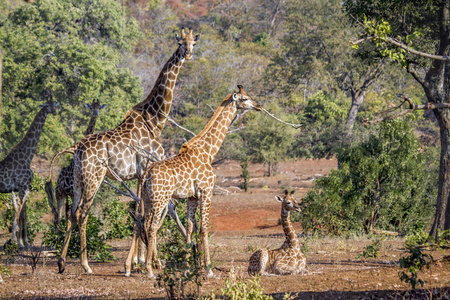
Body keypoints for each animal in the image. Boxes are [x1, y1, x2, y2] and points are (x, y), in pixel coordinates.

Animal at [0, 98, 58, 246]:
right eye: (47, 105)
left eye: (54, 104)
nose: (54, 112)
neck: (28, 156)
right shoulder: (22, 186)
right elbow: (18, 214)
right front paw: (19, 242)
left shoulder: (24, 187)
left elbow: (22, 215)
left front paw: (25, 242)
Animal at [55, 27, 200, 274]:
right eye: (180, 43)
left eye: (194, 42)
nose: (188, 54)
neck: (154, 121)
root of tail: (77, 149)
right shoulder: (145, 169)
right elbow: (143, 214)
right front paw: (140, 262)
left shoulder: (139, 175)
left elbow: (140, 213)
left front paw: (140, 261)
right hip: (94, 178)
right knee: (82, 213)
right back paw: (85, 265)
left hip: (78, 180)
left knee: (71, 214)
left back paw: (62, 262)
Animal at [125, 85, 264, 278]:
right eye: (244, 99)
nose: (259, 106)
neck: (209, 151)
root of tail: (146, 173)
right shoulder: (206, 191)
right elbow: (204, 229)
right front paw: (209, 269)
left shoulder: (191, 197)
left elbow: (190, 228)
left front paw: (186, 268)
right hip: (160, 199)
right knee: (152, 227)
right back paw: (150, 270)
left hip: (147, 198)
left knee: (142, 223)